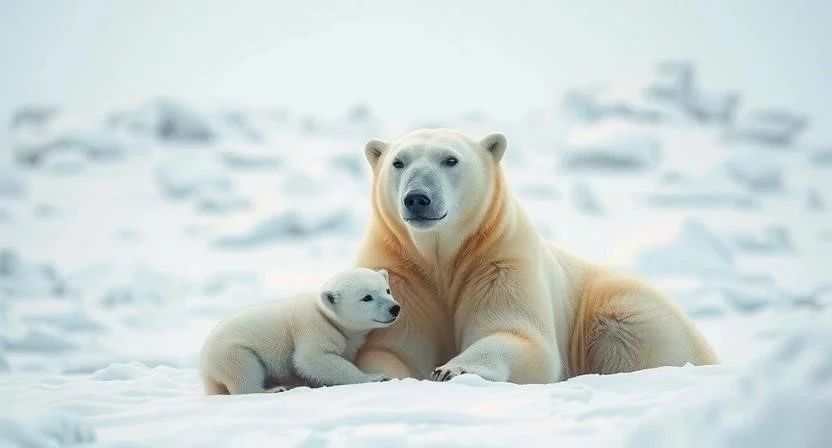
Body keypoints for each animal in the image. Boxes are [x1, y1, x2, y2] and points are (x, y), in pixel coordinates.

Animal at [199, 267, 400, 395]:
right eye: (366, 297)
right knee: (244, 370)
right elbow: (311, 359)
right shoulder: (313, 328)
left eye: (387, 290)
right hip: (231, 352)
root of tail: (205, 368)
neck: (325, 314)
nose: (395, 308)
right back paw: (272, 389)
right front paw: (375, 377)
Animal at [352, 128, 718, 384]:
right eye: (398, 162)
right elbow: (392, 347)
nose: (417, 198)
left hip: (629, 311)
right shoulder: (401, 272)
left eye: (450, 160)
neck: (440, 256)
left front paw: (451, 370)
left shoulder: (498, 260)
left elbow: (521, 336)